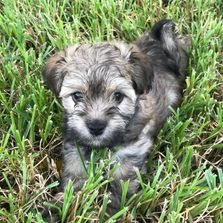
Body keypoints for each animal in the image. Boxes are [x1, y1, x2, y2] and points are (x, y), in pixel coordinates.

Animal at [41, 19, 190, 221]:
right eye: (77, 96)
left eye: (118, 96)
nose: (96, 127)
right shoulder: (75, 148)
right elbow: (74, 180)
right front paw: (56, 208)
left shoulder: (129, 155)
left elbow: (121, 188)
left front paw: (112, 213)